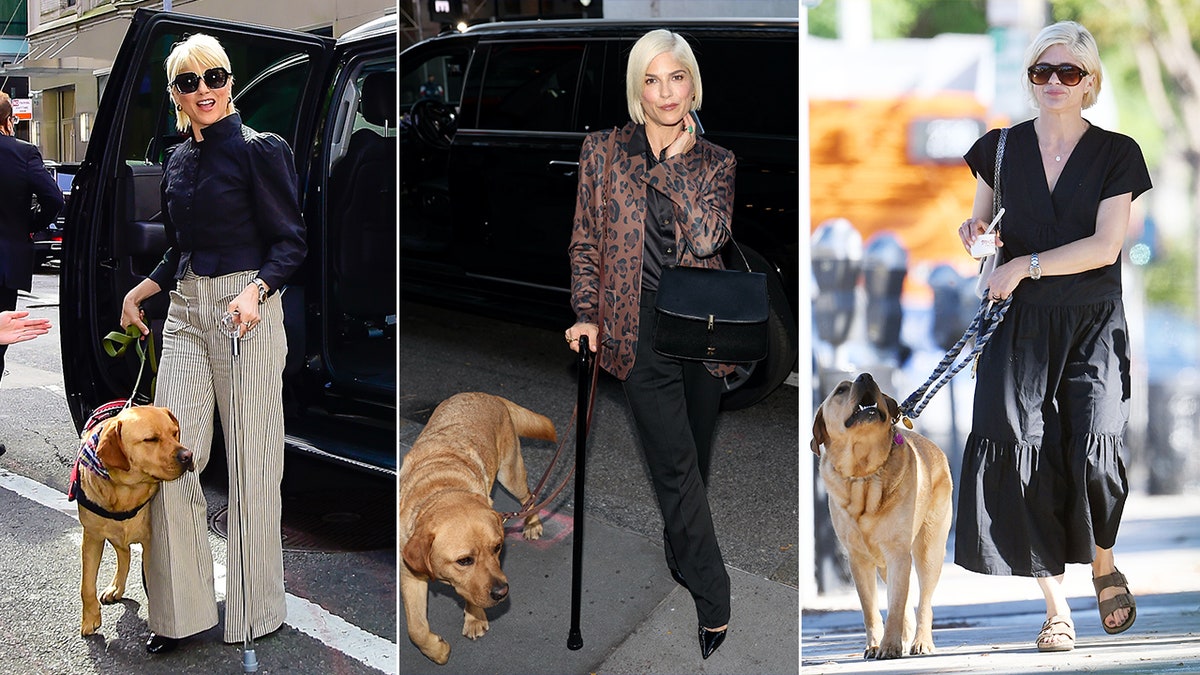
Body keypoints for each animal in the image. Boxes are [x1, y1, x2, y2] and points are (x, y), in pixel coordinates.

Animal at [70, 403, 193, 634]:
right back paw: (116, 587)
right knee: (124, 554)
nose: (188, 455)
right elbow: (86, 585)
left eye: (175, 433)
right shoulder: (92, 537)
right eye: (151, 439)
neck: (125, 492)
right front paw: (89, 619)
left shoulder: (152, 544)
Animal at [400, 391, 554, 658]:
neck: (441, 489)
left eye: (497, 548)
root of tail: (486, 394)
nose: (502, 592)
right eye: (464, 561)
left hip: (510, 473)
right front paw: (438, 651)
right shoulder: (410, 575)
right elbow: (416, 630)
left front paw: (474, 618)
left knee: (529, 496)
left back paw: (532, 523)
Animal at [811, 369, 950, 658]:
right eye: (841, 390)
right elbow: (871, 609)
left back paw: (921, 640)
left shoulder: (898, 553)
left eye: (872, 381)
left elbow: (897, 604)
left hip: (928, 550)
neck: (864, 475)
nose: (866, 376)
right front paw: (876, 644)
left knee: (923, 601)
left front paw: (889, 646)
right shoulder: (858, 560)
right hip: (887, 564)